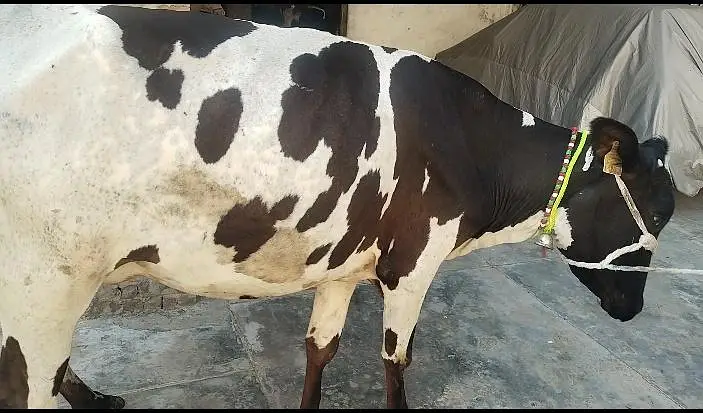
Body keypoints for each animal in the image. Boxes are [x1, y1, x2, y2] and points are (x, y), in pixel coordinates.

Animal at [0, 4, 676, 409]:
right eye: (653, 212)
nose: (633, 309)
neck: (470, 142)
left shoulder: (344, 263)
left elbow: (320, 347)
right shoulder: (411, 265)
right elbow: (396, 361)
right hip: (42, 279)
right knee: (30, 380)